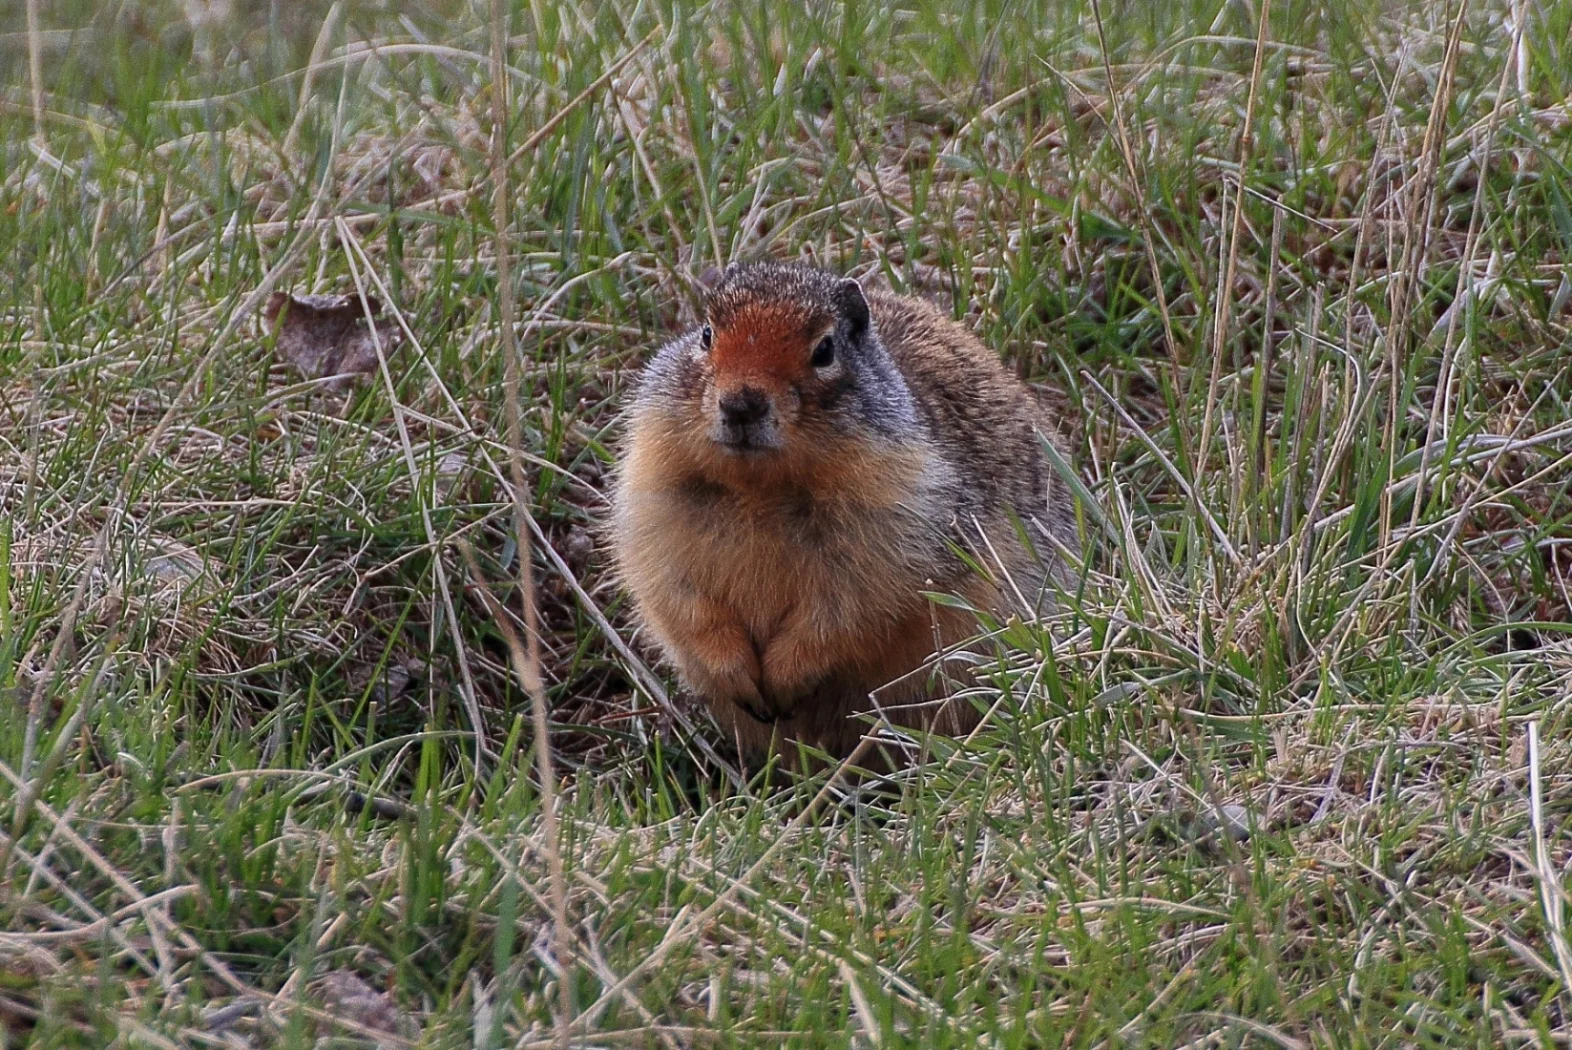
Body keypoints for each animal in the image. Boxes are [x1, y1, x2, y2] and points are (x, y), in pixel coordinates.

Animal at [609, 261, 1080, 761]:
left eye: (825, 350)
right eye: (706, 334)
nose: (740, 404)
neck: (759, 489)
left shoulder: (893, 520)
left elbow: (846, 610)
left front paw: (784, 676)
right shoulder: (652, 496)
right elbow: (678, 593)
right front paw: (736, 673)